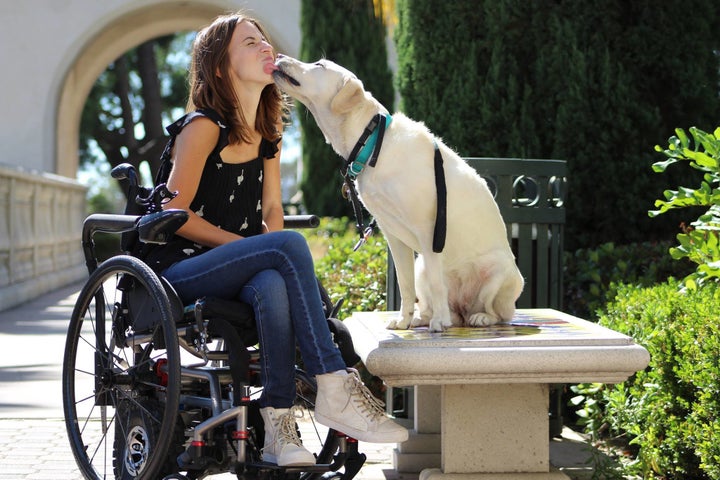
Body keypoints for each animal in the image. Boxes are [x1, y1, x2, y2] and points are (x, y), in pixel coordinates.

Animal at [274, 56, 524, 332]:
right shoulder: (393, 235)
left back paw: (476, 317)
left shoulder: (430, 231)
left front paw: (439, 322)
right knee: (441, 304)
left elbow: (437, 283)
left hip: (499, 271)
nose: (280, 57)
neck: (374, 144)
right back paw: (425, 318)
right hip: (421, 265)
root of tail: (463, 309)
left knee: (499, 312)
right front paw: (404, 320)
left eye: (319, 65)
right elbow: (405, 286)